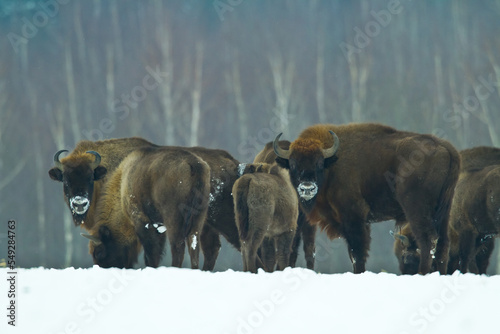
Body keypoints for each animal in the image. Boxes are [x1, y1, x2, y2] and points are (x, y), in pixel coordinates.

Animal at [82, 146, 211, 268]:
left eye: (98, 253)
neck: (123, 186)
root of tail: (194, 164)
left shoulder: (141, 221)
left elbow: (150, 253)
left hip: (173, 219)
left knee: (177, 245)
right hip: (198, 218)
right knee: (193, 243)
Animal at [276, 122, 458, 274]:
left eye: (319, 163)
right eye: (292, 164)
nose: (307, 187)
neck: (332, 164)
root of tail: (445, 147)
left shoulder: (354, 216)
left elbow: (358, 251)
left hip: (417, 209)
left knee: (427, 240)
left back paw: (423, 273)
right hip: (444, 210)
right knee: (443, 244)